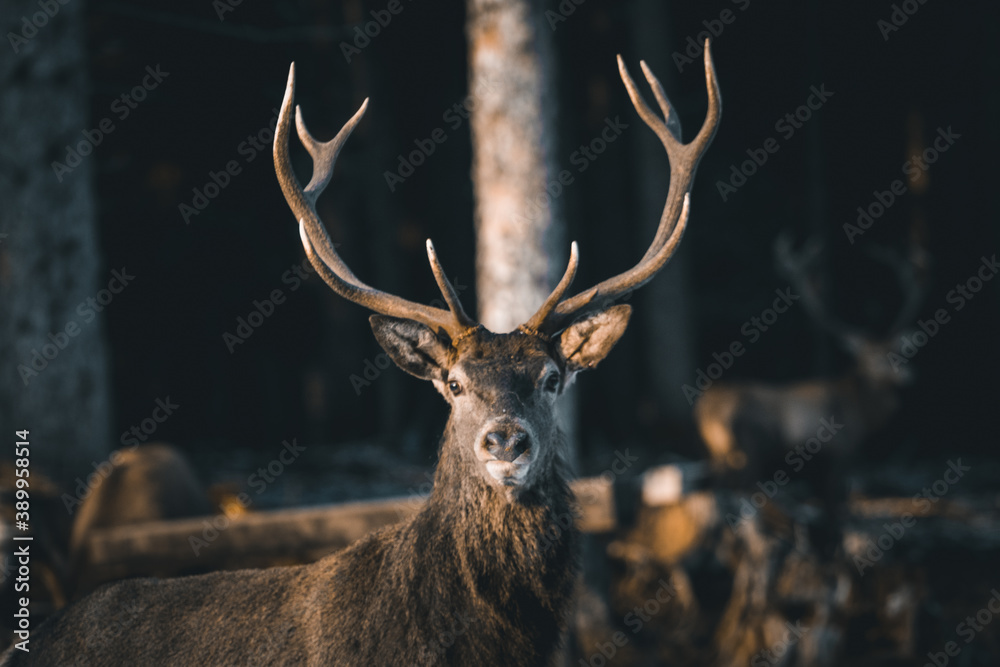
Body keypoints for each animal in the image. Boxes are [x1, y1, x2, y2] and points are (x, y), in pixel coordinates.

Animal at [695, 233, 925, 511]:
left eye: (898, 350)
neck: (862, 414)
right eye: (871, 357)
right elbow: (835, 507)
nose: (908, 375)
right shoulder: (841, 453)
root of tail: (708, 409)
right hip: (748, 449)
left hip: (714, 452)